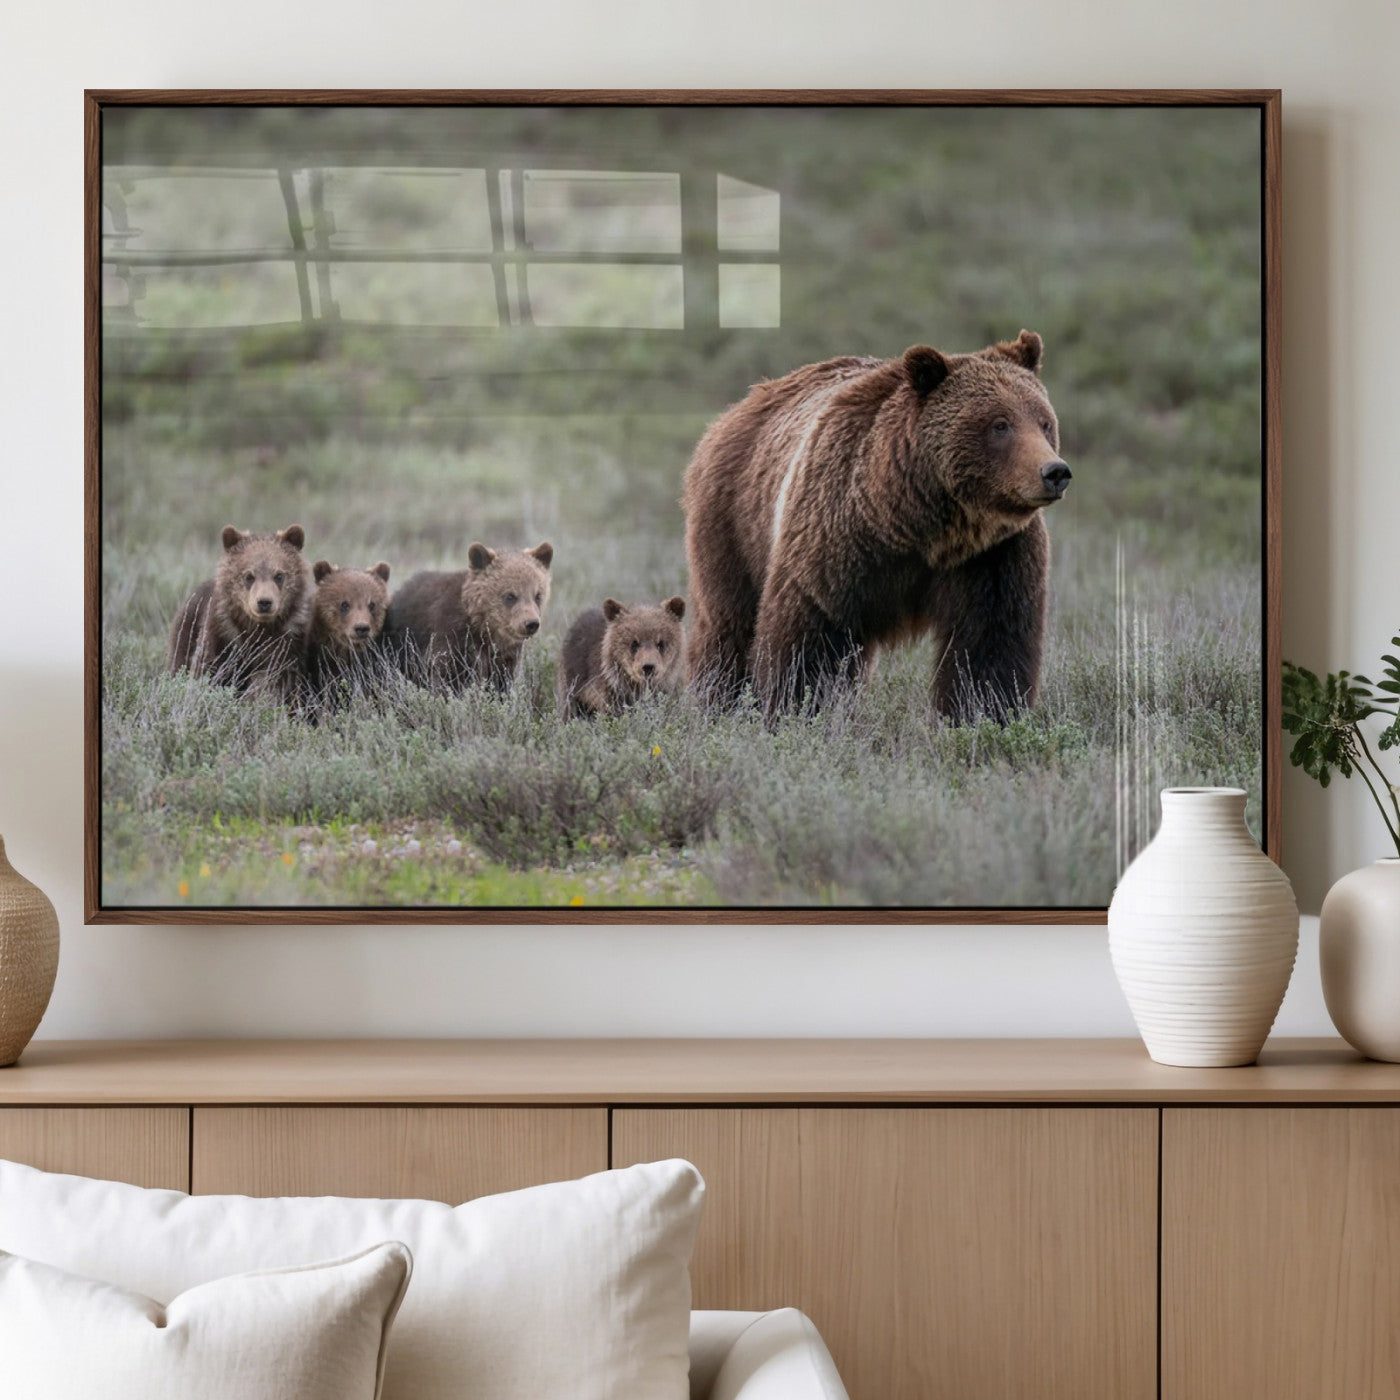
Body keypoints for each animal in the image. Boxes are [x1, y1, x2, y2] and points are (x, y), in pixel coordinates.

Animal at [167, 524, 314, 701]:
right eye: (249, 576)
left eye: (279, 575)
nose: (264, 602)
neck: (258, 627)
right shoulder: (223, 633)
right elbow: (208, 668)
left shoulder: (288, 640)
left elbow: (280, 679)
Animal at [384, 541, 553, 691]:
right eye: (510, 596)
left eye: (538, 595)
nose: (531, 623)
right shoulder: (450, 640)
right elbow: (446, 678)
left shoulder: (504, 657)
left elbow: (501, 682)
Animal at [682, 330, 1071, 721]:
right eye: (1000, 424)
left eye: (1044, 422)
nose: (1054, 472)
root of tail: (740, 407)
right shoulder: (836, 538)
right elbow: (809, 636)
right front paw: (796, 709)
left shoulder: (992, 554)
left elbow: (990, 644)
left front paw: (983, 714)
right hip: (734, 520)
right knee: (728, 624)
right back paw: (718, 700)